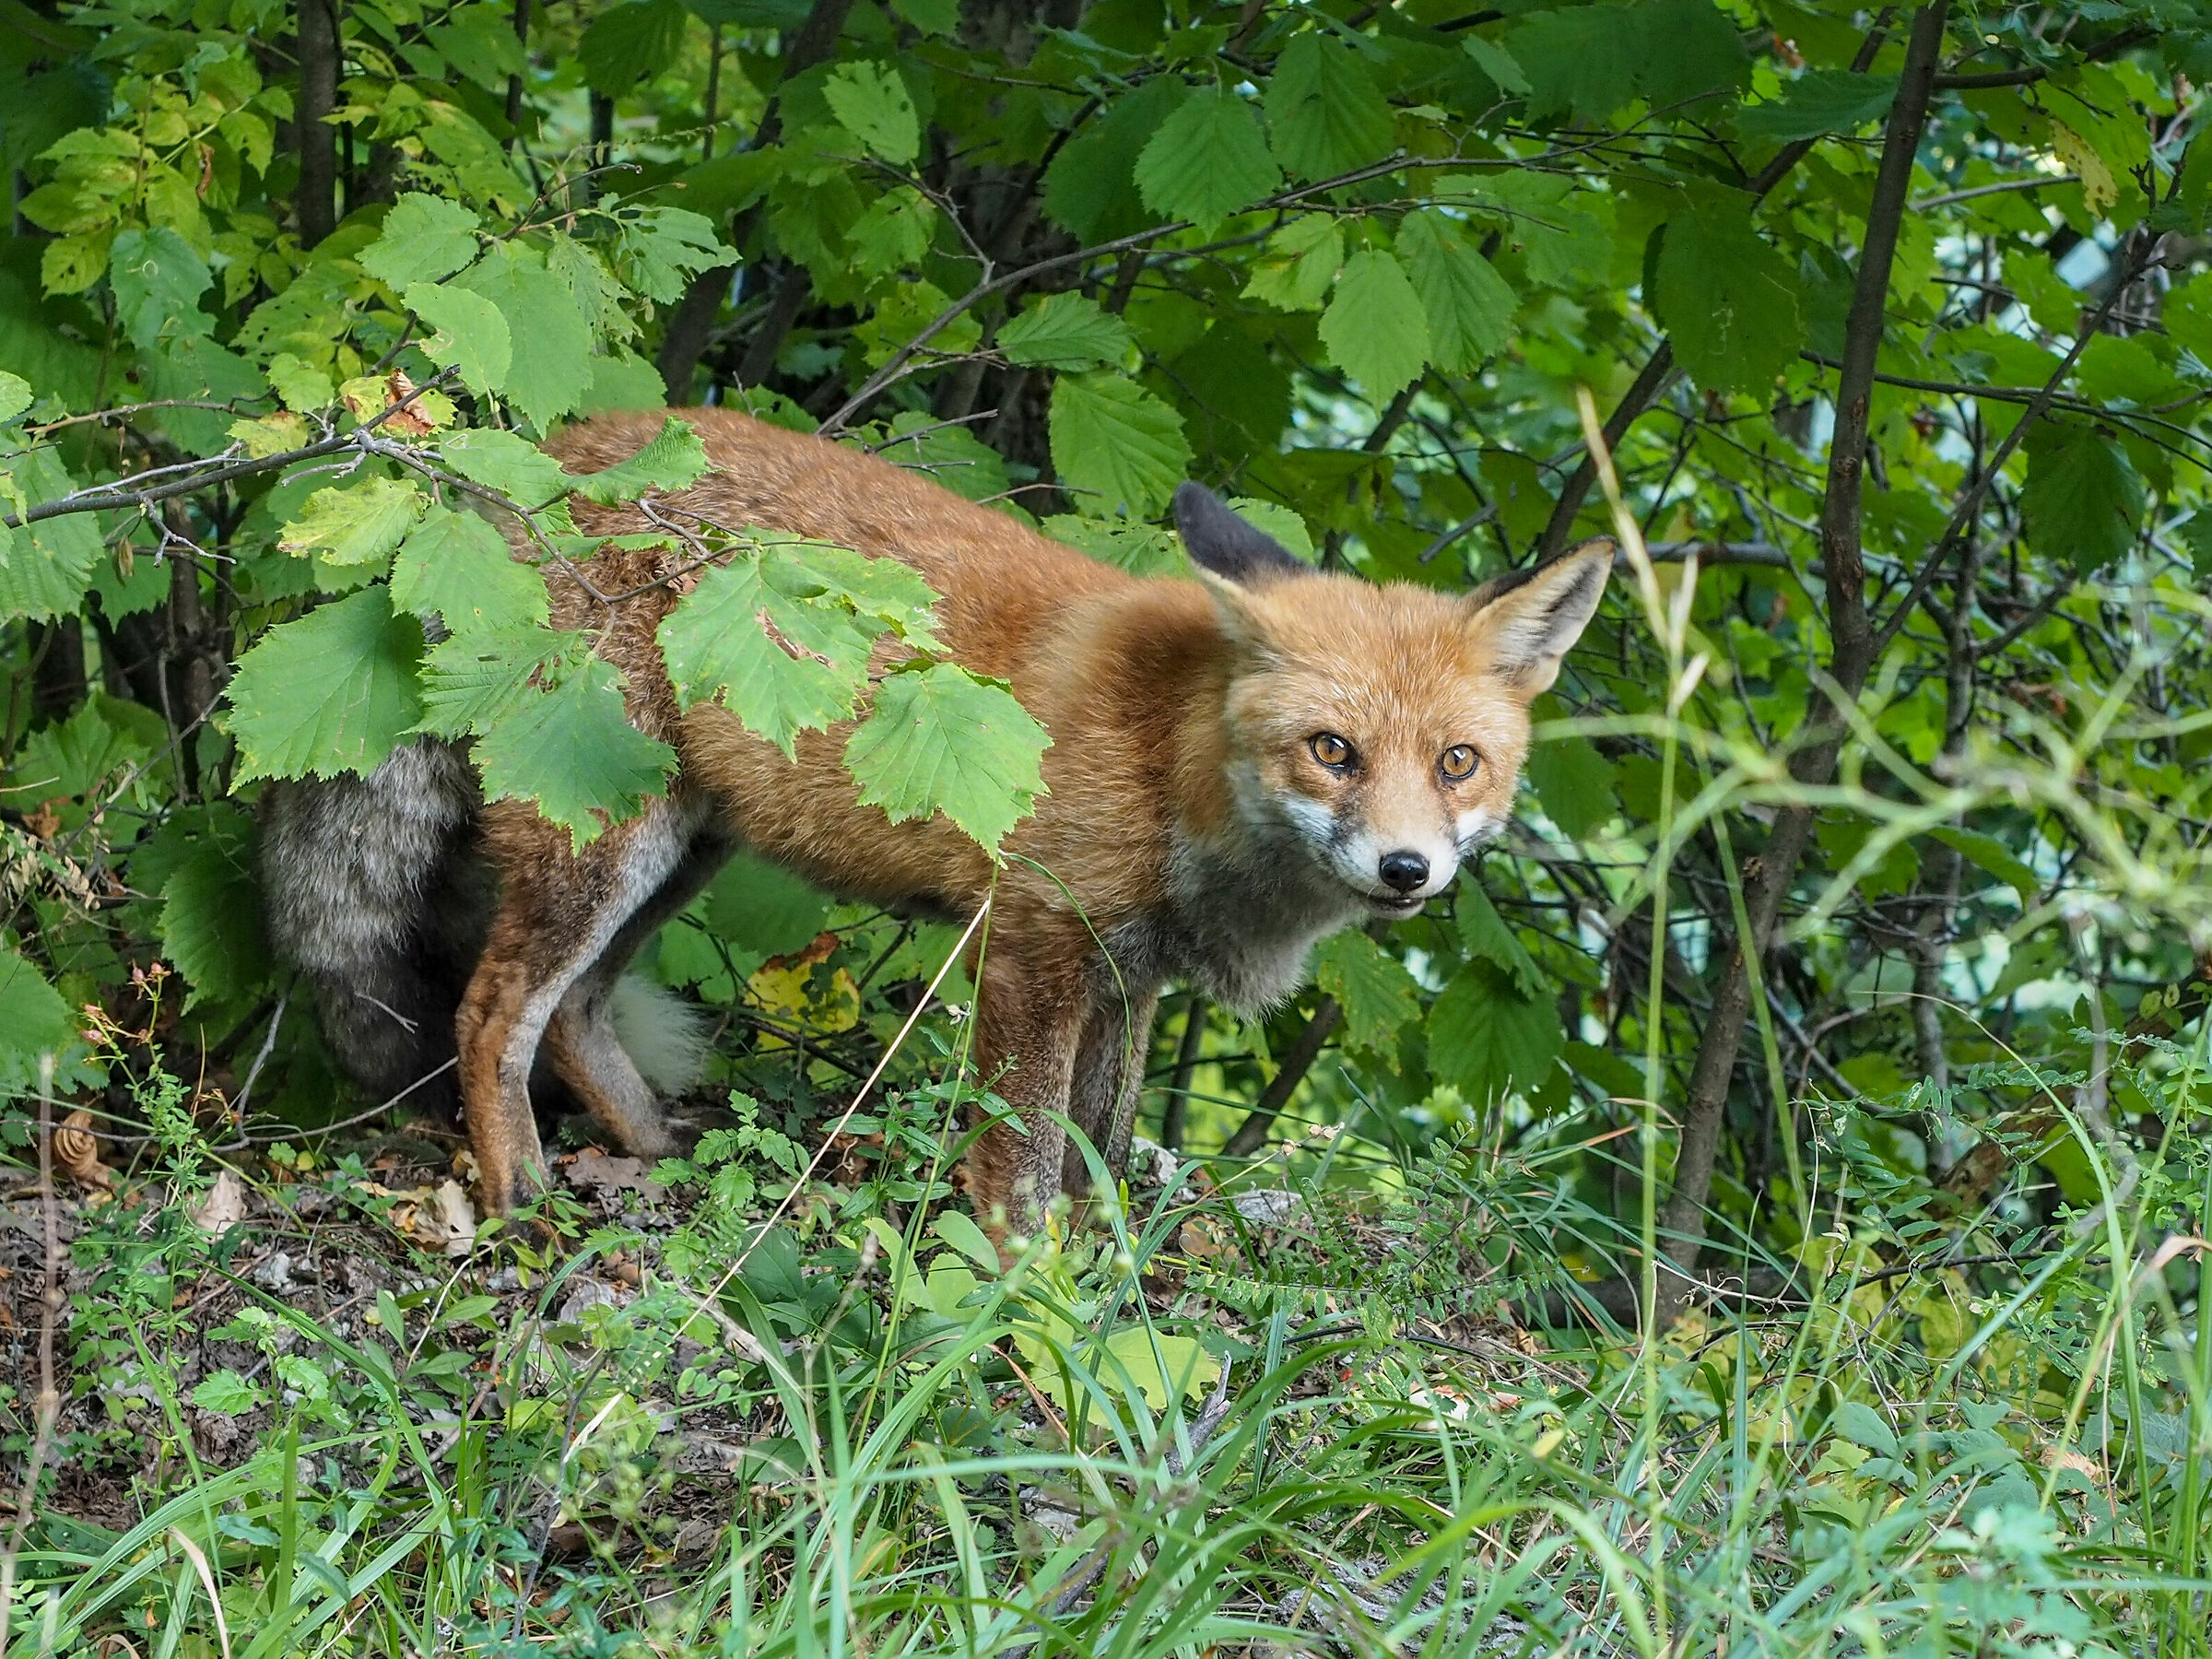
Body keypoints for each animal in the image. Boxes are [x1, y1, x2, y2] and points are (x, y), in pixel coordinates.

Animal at [260, 407, 1612, 1235]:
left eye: (1457, 764)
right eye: (1333, 752)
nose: (1407, 869)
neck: (1171, 764)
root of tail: (556, 457)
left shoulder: (1129, 979)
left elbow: (1098, 1149)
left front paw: (1096, 1267)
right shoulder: (1033, 945)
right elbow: (1020, 1159)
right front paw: (1022, 1297)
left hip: (685, 850)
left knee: (582, 1012)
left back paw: (654, 1153)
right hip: (605, 837)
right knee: (492, 1013)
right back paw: (519, 1204)